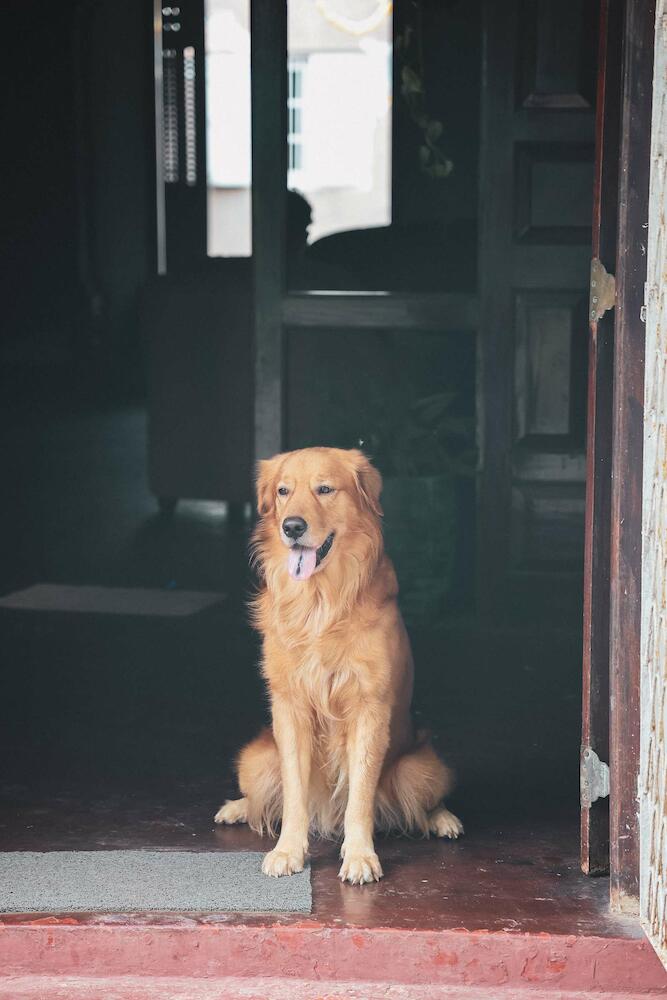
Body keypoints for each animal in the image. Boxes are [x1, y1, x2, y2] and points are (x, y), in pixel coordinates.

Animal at [215, 446, 464, 884]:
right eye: (283, 491)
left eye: (325, 489)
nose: (292, 526)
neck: (320, 600)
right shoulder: (290, 707)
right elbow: (293, 792)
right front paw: (288, 850)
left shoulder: (369, 708)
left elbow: (360, 795)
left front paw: (361, 855)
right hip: (254, 759)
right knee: (262, 795)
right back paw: (235, 808)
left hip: (423, 766)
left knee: (419, 804)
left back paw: (443, 819)